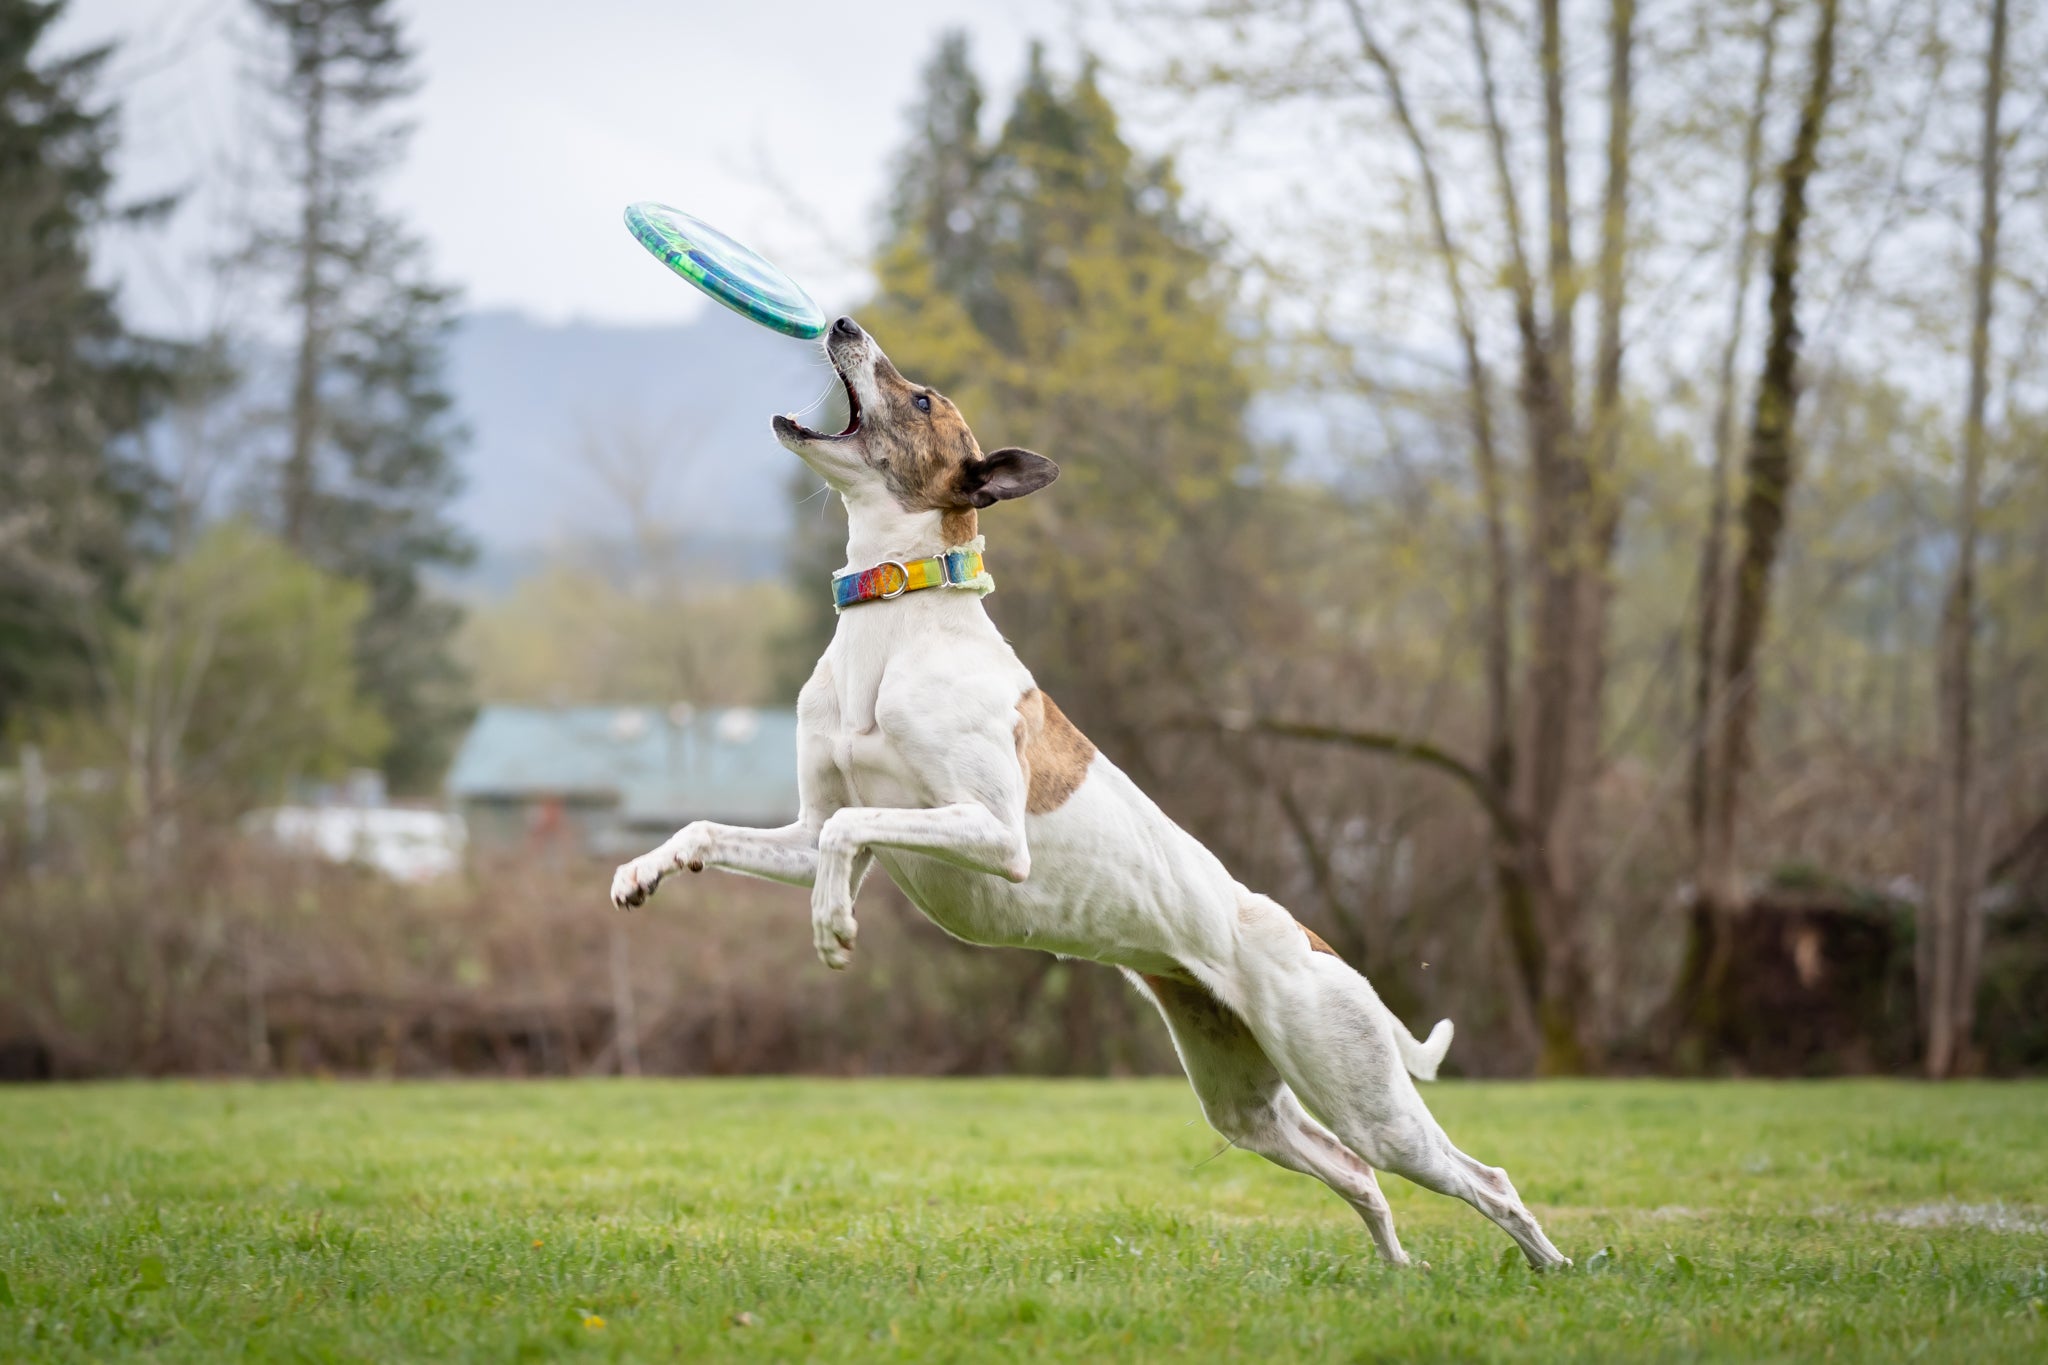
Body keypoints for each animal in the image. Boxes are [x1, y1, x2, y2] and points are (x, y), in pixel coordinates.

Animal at [606, 317, 1564, 1268]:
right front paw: (643, 871)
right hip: (1246, 1103)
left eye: (922, 400)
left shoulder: (995, 835)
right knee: (1357, 1173)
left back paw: (1551, 1270)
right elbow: (730, 828)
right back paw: (1397, 1272)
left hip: (1362, 1089)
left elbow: (852, 824)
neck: (895, 617)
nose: (843, 322)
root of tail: (1316, 942)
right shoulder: (804, 835)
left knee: (1481, 1177)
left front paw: (833, 925)